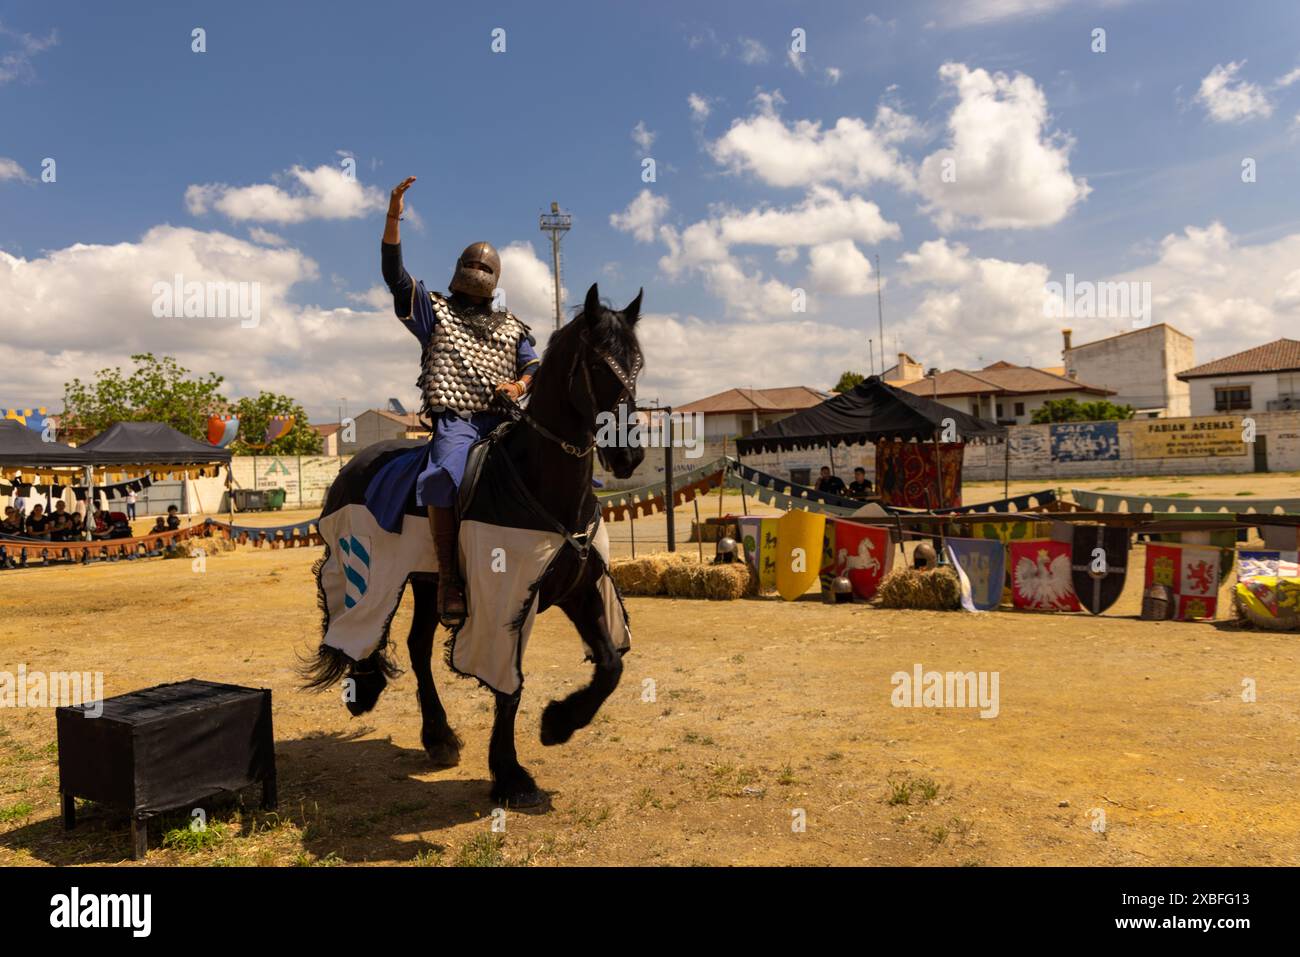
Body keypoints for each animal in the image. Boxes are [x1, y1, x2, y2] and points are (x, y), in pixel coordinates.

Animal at [300, 283, 644, 806]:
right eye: (600, 365)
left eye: (637, 364)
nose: (629, 454)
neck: (539, 480)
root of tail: (353, 466)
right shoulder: (501, 601)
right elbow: (508, 687)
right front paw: (510, 774)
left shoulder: (579, 589)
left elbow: (609, 666)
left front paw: (558, 724)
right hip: (373, 570)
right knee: (356, 624)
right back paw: (367, 687)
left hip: (426, 582)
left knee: (417, 646)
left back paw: (437, 736)